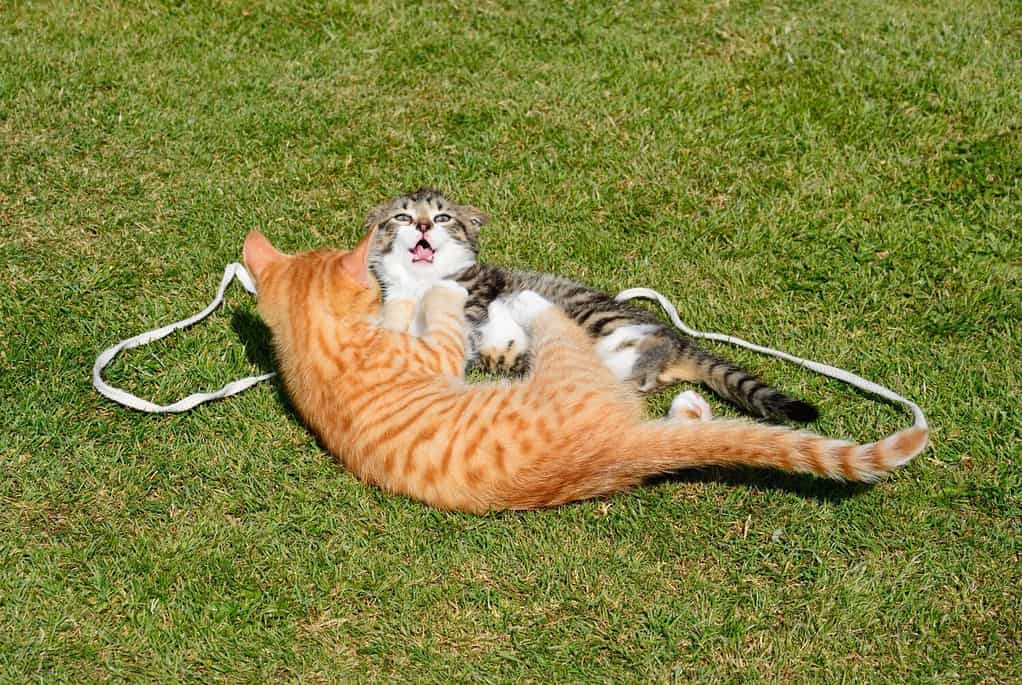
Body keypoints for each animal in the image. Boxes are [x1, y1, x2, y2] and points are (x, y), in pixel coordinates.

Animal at [245, 232, 927, 515]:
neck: (312, 349)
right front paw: (431, 289)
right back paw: (527, 304)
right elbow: (436, 312)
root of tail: (617, 447)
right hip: (572, 359)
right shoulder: (434, 352)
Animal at [363, 188, 817, 423]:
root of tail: (680, 342)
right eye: (403, 217)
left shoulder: (474, 299)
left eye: (442, 219)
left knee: (646, 351)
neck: (421, 284)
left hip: (595, 315)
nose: (423, 224)